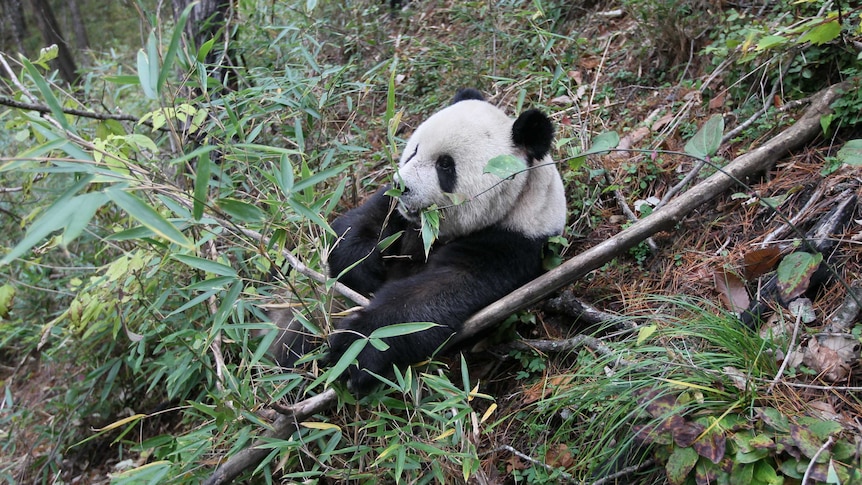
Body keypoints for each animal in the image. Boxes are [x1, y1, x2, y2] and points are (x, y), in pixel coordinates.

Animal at [274, 89, 572, 392]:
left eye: (445, 165)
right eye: (414, 151)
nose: (402, 186)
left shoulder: (510, 244)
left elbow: (435, 294)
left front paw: (359, 346)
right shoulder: (398, 214)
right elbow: (357, 225)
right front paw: (362, 270)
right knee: (297, 331)